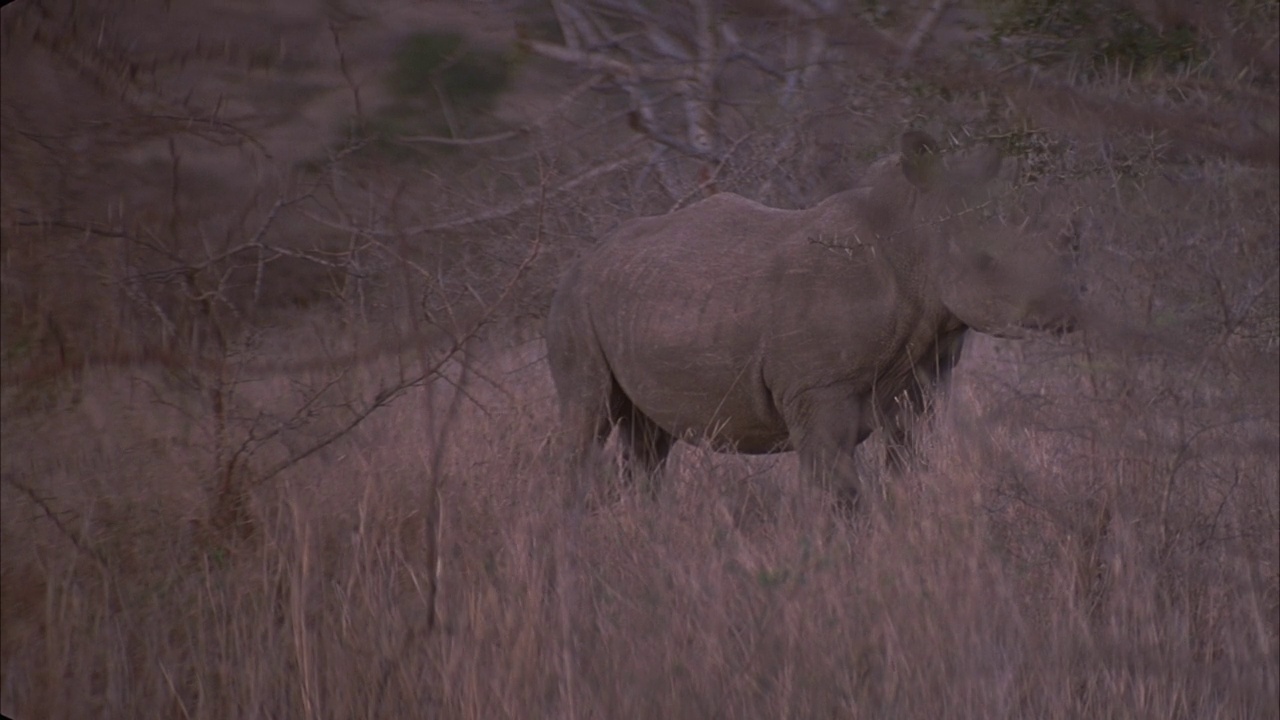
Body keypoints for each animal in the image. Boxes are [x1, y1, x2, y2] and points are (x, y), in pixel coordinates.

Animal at [545, 131, 1075, 507]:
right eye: (986, 262)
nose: (1070, 308)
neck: (912, 245)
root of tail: (584, 258)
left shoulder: (921, 377)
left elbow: (907, 466)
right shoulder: (820, 390)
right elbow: (839, 493)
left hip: (643, 300)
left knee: (648, 440)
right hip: (575, 303)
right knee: (588, 415)